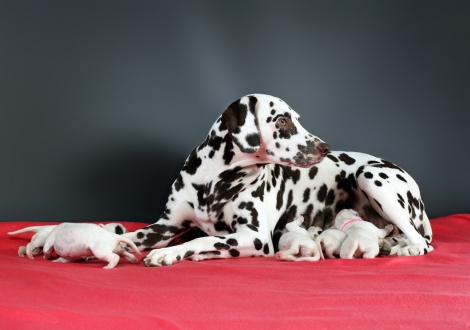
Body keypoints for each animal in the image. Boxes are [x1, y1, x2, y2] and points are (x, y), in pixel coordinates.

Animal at [126, 93, 434, 266]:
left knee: (421, 242)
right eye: (282, 120)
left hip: (370, 176)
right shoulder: (165, 226)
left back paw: (410, 247)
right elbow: (132, 235)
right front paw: (118, 242)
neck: (215, 181)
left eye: (296, 118)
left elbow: (202, 241)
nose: (324, 147)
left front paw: (170, 253)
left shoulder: (255, 237)